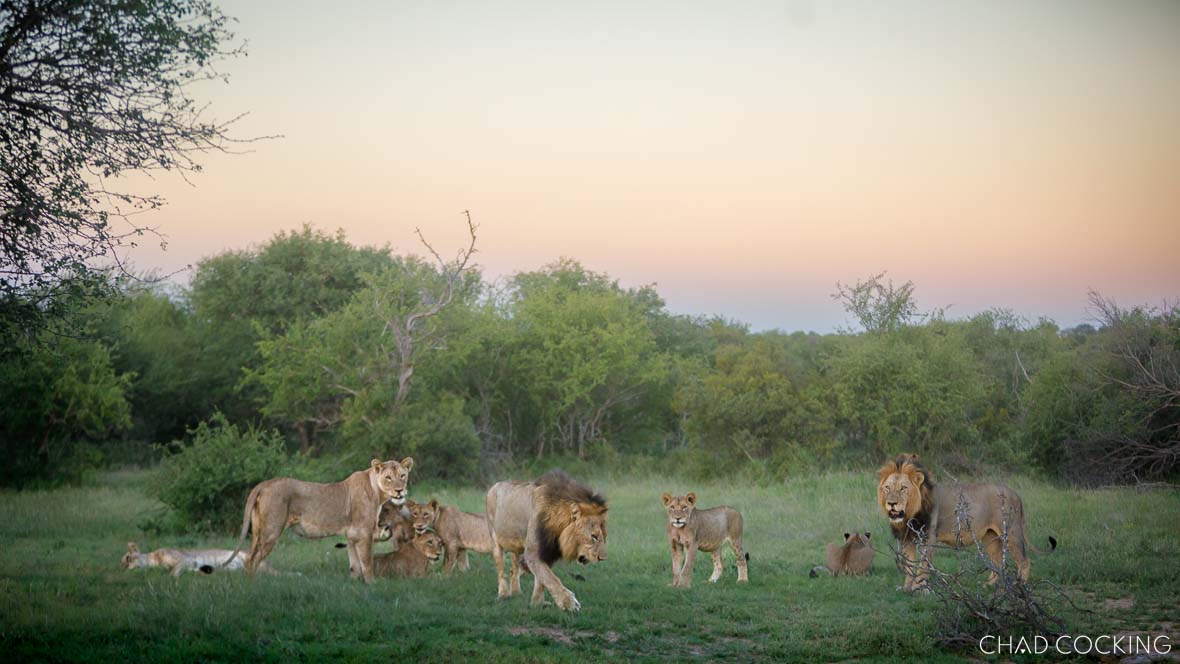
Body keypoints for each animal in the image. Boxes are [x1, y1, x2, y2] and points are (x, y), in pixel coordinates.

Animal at [226, 457, 414, 583]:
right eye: (388, 477)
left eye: (403, 475)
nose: (399, 491)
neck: (377, 492)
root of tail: (263, 484)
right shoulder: (364, 533)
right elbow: (367, 563)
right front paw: (372, 584)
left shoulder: (352, 536)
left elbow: (355, 565)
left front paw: (356, 584)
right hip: (271, 531)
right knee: (252, 559)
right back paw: (253, 585)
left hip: (258, 531)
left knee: (249, 556)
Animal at [486, 470, 607, 612]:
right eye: (594, 536)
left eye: (604, 536)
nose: (603, 558)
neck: (557, 529)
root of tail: (494, 485)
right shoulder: (533, 553)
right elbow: (550, 578)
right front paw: (570, 603)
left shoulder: (547, 551)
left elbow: (542, 580)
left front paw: (537, 604)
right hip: (495, 540)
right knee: (501, 570)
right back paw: (503, 595)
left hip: (516, 548)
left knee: (513, 570)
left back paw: (516, 592)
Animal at [877, 454, 1056, 591]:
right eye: (887, 488)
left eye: (903, 488)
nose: (891, 503)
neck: (909, 514)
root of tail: (1016, 494)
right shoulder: (906, 539)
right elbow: (908, 565)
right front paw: (907, 588)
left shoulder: (928, 537)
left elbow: (923, 565)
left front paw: (920, 588)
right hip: (990, 536)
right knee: (998, 562)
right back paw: (988, 585)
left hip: (1011, 533)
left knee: (1025, 561)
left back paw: (1021, 587)